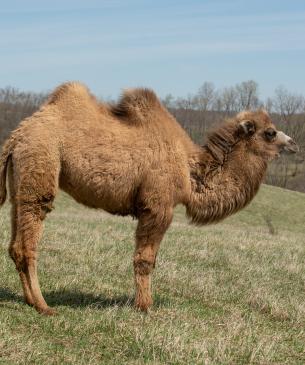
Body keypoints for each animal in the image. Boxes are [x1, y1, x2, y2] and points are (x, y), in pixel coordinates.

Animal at [0, 82, 296, 312]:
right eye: (270, 132)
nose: (293, 143)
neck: (190, 172)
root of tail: (16, 136)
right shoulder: (158, 206)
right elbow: (145, 260)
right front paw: (144, 306)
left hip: (21, 177)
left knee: (15, 240)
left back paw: (30, 300)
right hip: (41, 159)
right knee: (29, 236)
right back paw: (43, 305)